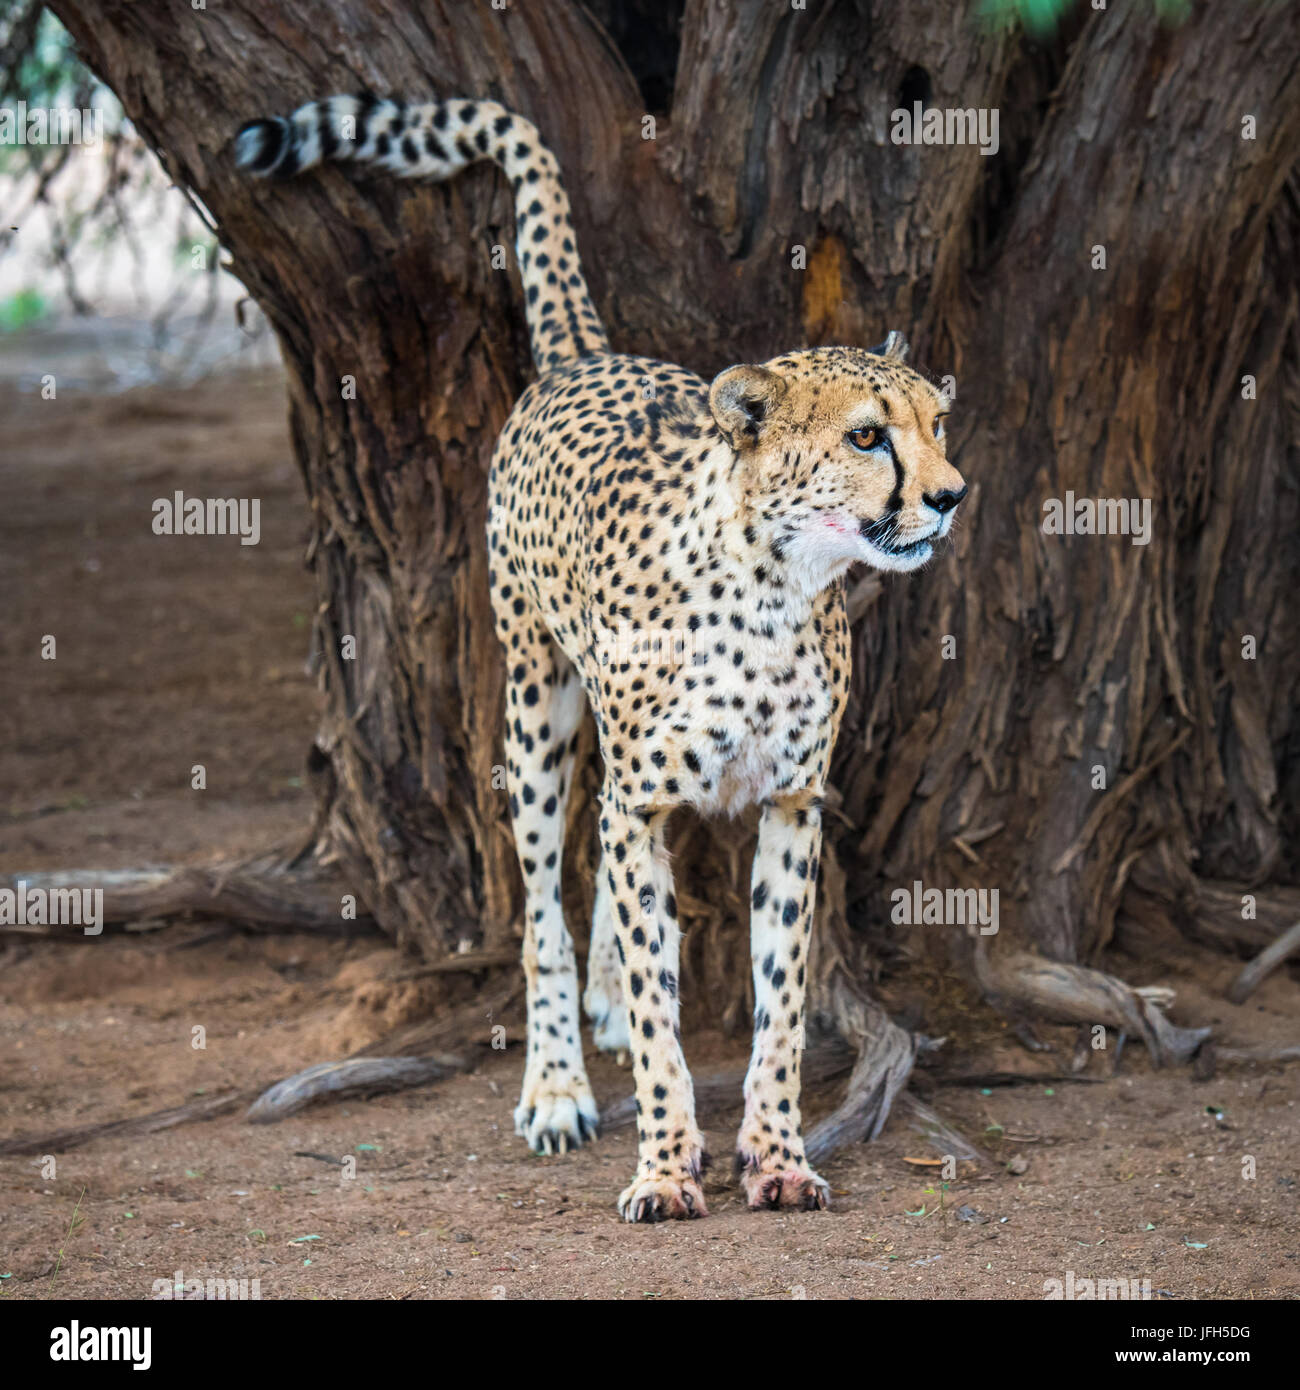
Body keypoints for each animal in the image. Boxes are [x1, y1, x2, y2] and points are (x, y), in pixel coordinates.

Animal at [236, 97, 967, 1223]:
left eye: (936, 422)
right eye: (865, 437)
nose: (951, 494)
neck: (776, 588)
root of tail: (587, 356)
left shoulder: (791, 804)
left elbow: (780, 1006)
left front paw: (777, 1154)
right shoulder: (649, 787)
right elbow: (667, 1024)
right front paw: (665, 1163)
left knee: (603, 868)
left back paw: (610, 1001)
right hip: (533, 704)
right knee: (547, 898)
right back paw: (556, 1083)